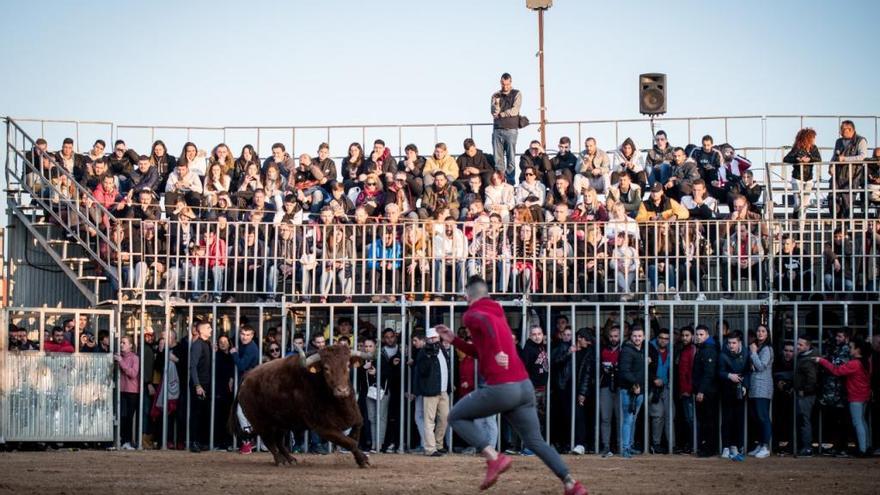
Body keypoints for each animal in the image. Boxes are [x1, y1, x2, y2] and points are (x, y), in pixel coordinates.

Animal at [229, 344, 370, 468]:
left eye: (347, 365)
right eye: (326, 368)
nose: (342, 391)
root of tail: (246, 377)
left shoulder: (356, 416)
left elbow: (356, 433)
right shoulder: (323, 428)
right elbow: (350, 442)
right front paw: (363, 460)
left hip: (281, 423)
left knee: (279, 441)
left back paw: (290, 459)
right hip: (261, 423)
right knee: (270, 441)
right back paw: (280, 461)